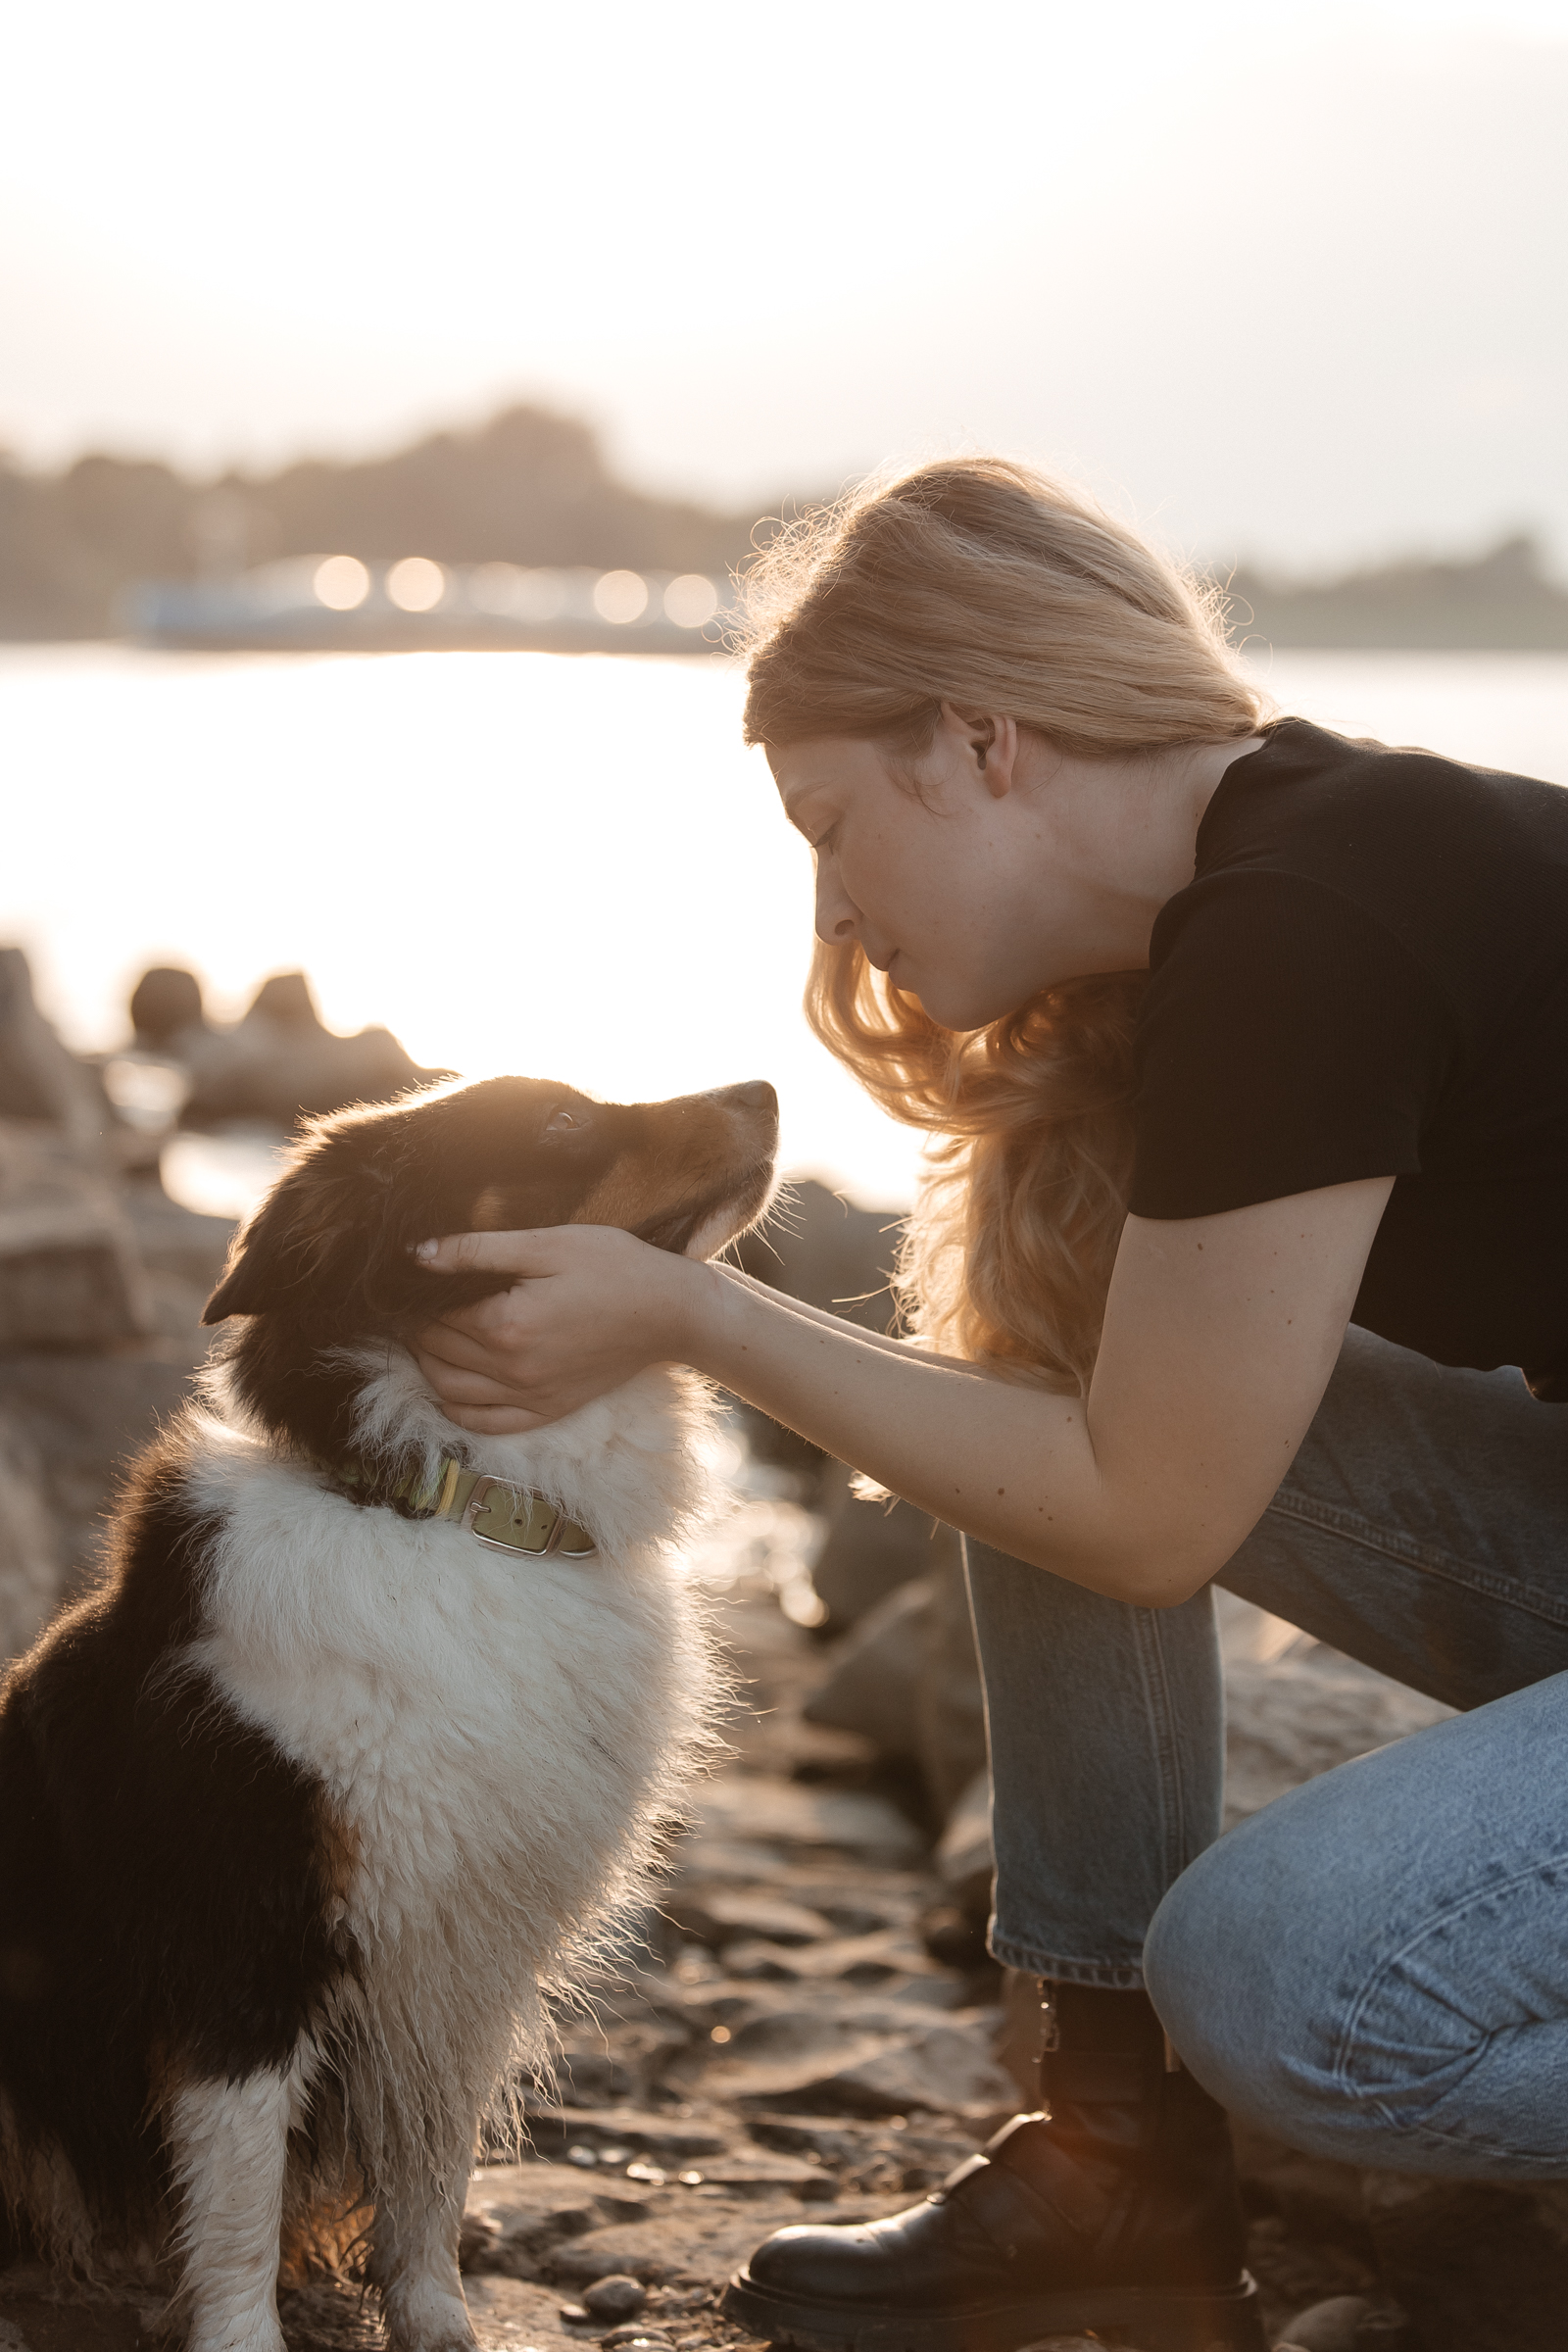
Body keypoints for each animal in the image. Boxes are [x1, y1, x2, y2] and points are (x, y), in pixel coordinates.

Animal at [0, 1077, 780, 2352]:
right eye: (561, 1121)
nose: (764, 1089)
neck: (462, 1508)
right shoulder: (246, 1943)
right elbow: (237, 2209)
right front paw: (243, 2336)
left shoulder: (464, 1952)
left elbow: (430, 2174)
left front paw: (437, 2324)